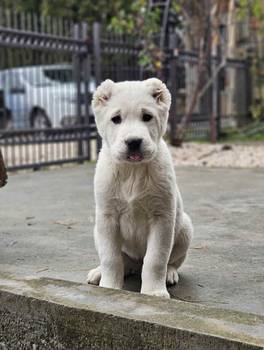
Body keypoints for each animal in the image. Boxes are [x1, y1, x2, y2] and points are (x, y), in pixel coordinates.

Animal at [87, 78, 193, 296]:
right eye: (116, 119)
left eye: (147, 117)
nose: (133, 142)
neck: (132, 171)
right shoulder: (107, 216)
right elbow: (110, 258)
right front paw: (109, 288)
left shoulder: (162, 218)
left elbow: (156, 260)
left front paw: (154, 293)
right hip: (97, 230)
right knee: (121, 261)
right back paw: (99, 272)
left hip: (185, 228)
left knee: (171, 262)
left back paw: (170, 274)